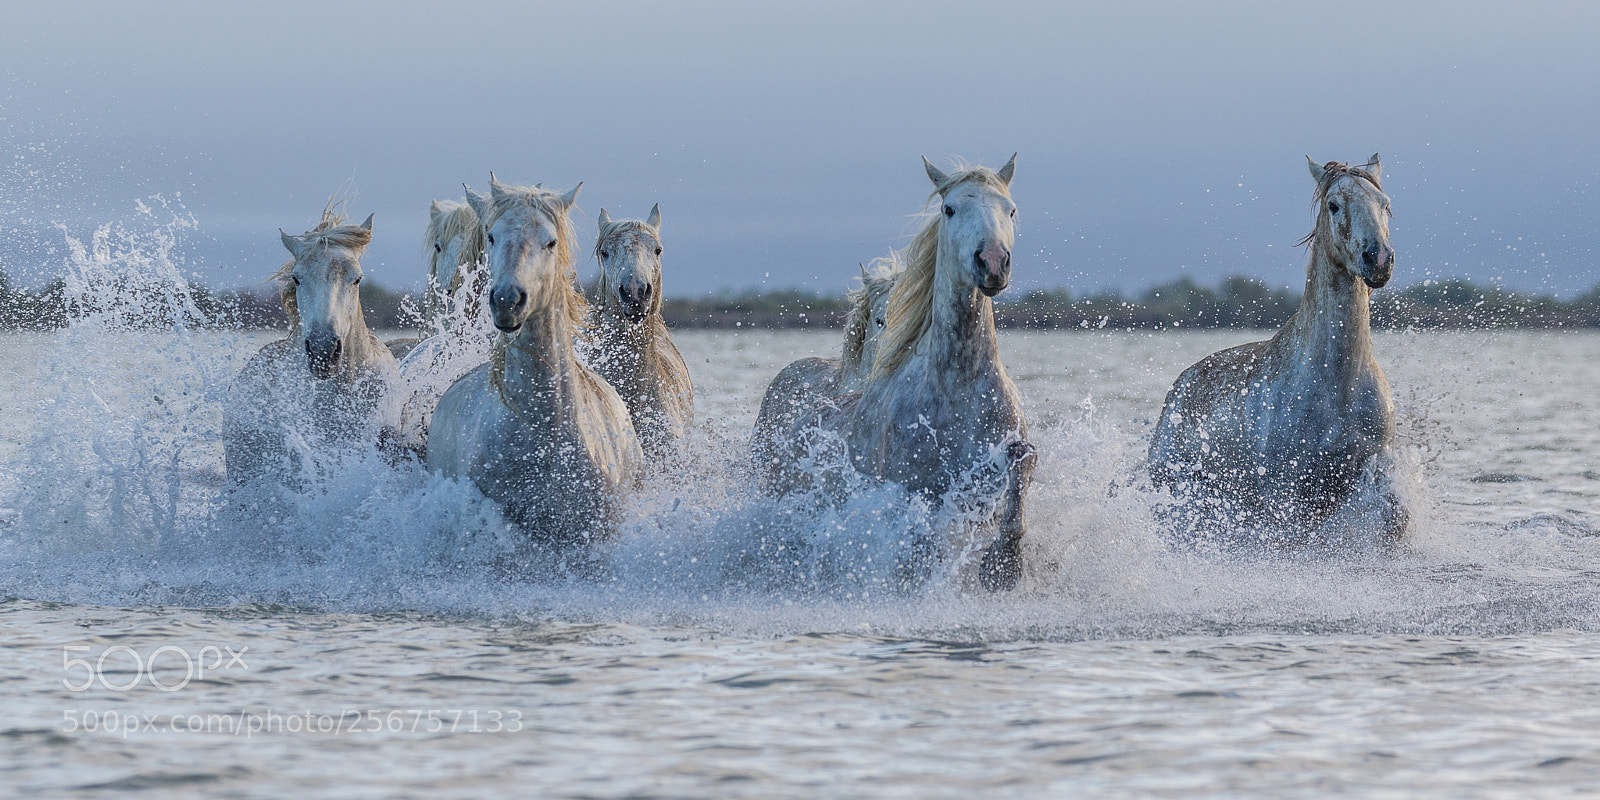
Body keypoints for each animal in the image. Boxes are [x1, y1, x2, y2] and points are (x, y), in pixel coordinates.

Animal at [751, 155, 1035, 591]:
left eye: (1011, 210)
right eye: (949, 209)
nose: (991, 263)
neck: (957, 388)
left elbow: (1023, 466)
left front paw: (1003, 566)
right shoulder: (914, 490)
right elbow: (919, 551)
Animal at [1147, 154, 1407, 547]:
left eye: (1385, 204)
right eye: (1333, 205)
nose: (1377, 259)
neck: (1337, 384)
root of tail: (1178, 388)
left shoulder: (1375, 472)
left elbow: (1397, 522)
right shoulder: (1286, 496)